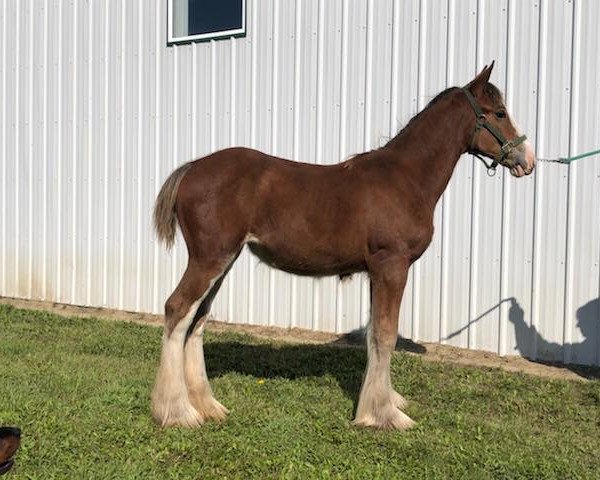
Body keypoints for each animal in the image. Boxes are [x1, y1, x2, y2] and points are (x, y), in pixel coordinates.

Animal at [149, 62, 536, 430]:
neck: (405, 178)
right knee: (177, 310)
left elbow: (374, 335)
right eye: (499, 112)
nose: (527, 160)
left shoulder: (377, 271)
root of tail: (191, 169)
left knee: (197, 320)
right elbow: (385, 335)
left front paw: (379, 403)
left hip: (223, 261)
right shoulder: (392, 266)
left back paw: (207, 406)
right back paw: (177, 412)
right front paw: (385, 415)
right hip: (210, 259)